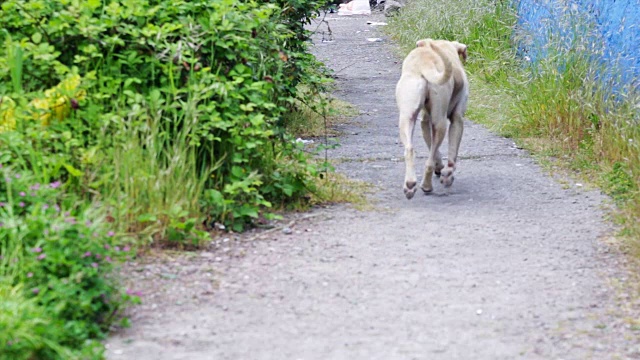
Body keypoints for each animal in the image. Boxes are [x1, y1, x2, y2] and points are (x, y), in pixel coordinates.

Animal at [392, 39, 468, 200]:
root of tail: (424, 66)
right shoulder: (457, 120)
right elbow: (451, 154)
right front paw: (447, 174)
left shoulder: (424, 121)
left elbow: (432, 145)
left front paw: (441, 168)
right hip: (441, 123)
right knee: (429, 161)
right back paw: (427, 186)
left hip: (407, 117)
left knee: (410, 149)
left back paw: (410, 185)